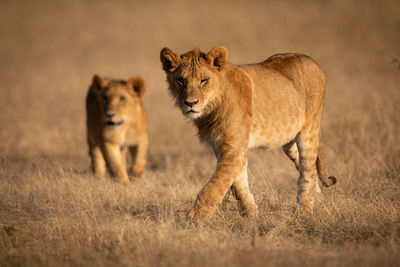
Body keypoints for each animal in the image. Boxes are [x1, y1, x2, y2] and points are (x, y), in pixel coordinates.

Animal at [161, 47, 336, 223]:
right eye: (180, 80)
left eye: (204, 80)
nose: (190, 103)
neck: (211, 109)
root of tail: (311, 61)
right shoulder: (223, 148)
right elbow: (238, 185)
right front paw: (251, 216)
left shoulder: (234, 149)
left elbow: (212, 189)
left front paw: (192, 222)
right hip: (289, 141)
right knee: (307, 169)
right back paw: (318, 202)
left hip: (309, 131)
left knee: (308, 173)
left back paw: (303, 213)